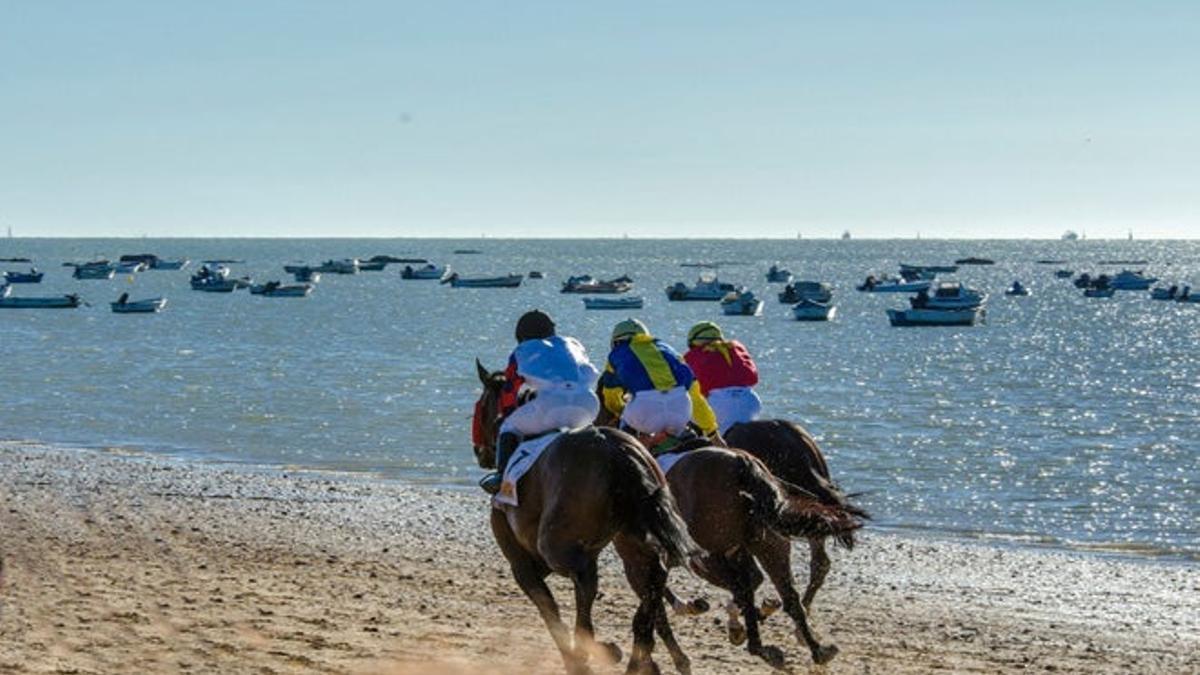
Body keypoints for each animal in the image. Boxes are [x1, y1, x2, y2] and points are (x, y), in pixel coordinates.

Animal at [470, 362, 696, 672]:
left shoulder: (522, 563)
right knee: (652, 575)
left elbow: (549, 609)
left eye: (481, 405)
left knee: (586, 579)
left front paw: (576, 657)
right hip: (633, 539)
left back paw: (601, 648)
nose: (479, 451)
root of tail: (617, 450)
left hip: (556, 545)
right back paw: (641, 649)